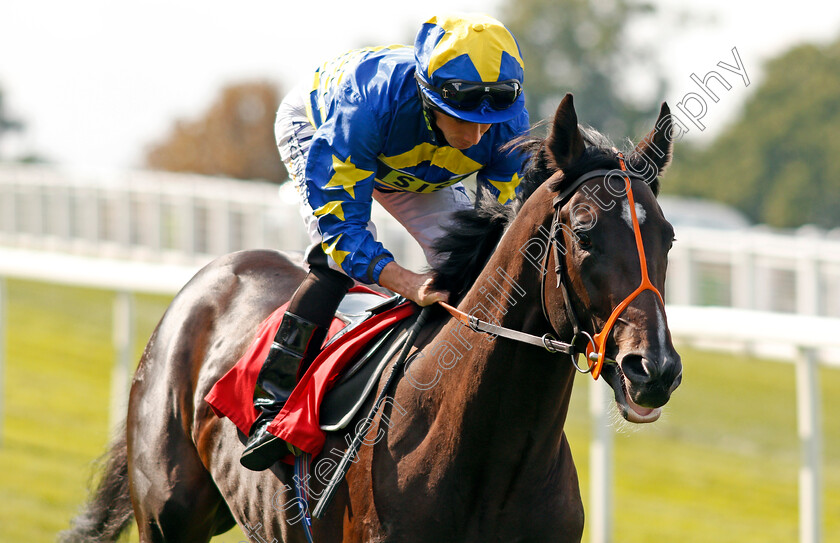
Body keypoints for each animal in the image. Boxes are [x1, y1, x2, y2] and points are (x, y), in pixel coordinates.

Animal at [62, 93, 680, 543]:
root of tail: (213, 274)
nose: (654, 369)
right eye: (584, 233)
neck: (491, 457)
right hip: (168, 515)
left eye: (668, 237)